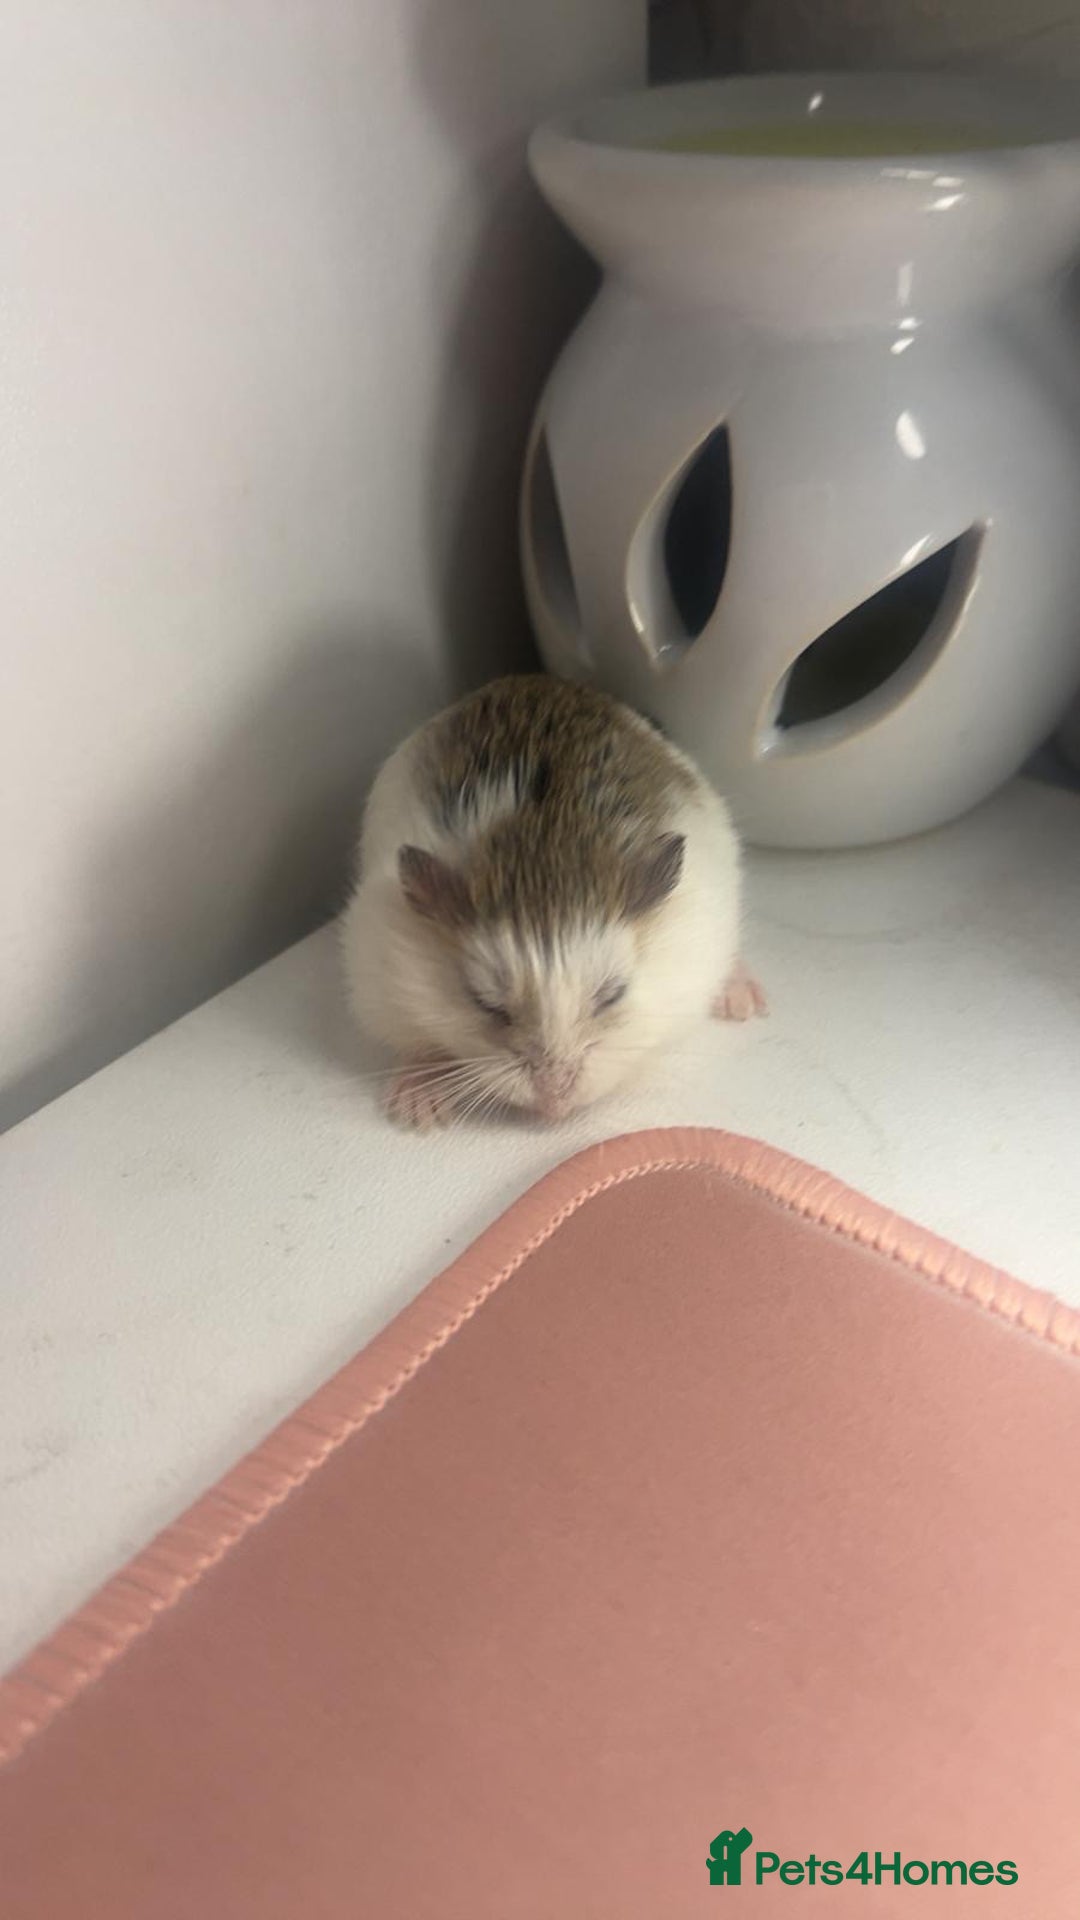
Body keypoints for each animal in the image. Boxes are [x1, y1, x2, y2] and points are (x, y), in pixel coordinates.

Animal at [340, 675, 765, 1129]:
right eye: (485, 1004)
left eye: (613, 994)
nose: (554, 1108)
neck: (542, 852)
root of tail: (538, 678)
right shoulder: (383, 978)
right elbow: (417, 1042)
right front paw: (417, 1113)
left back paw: (743, 1002)